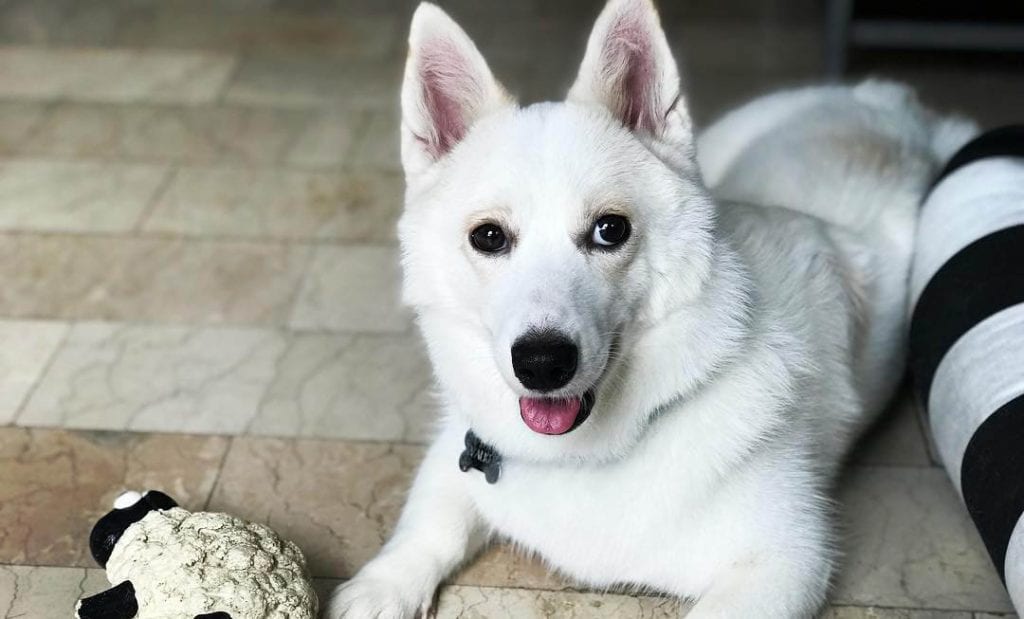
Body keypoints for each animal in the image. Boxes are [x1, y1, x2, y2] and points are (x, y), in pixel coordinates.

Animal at [327, 2, 974, 614]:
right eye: (488, 237)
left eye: (610, 230)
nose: (542, 364)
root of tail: (884, 100)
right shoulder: (458, 452)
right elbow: (427, 526)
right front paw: (381, 586)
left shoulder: (784, 565)